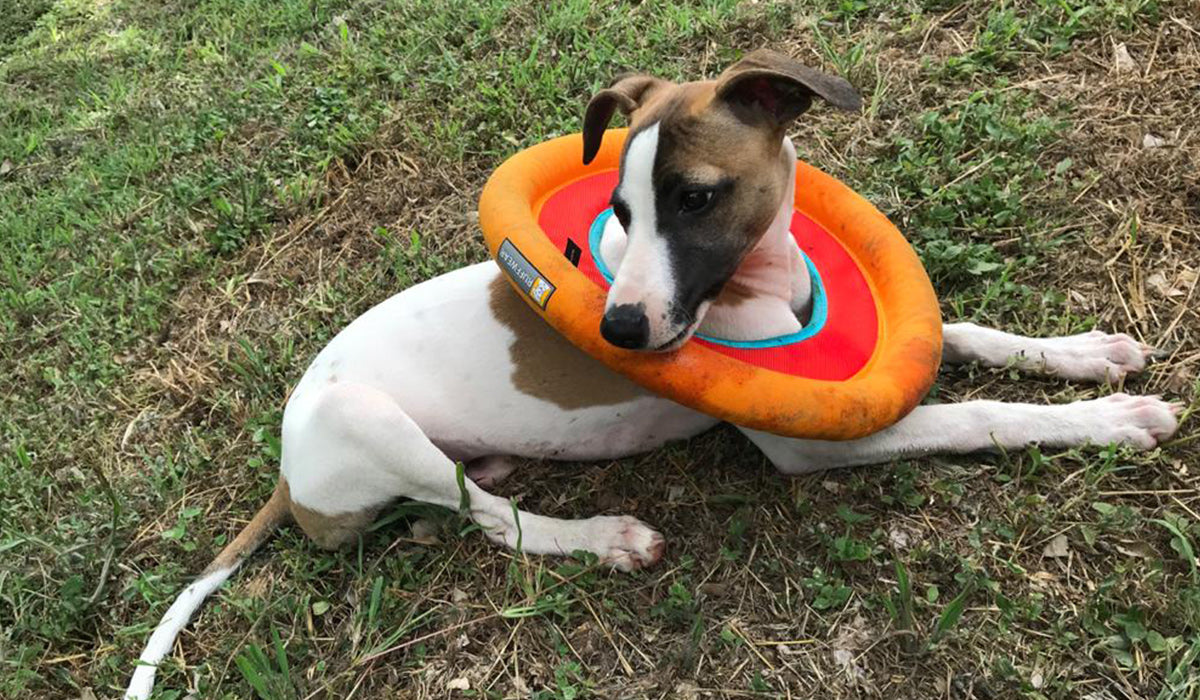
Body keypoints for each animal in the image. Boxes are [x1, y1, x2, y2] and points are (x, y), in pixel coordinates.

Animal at [124, 50, 1180, 700]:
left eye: (695, 197)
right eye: (621, 211)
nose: (622, 329)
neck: (756, 284)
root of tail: (286, 473)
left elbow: (967, 335)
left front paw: (1089, 353)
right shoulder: (804, 441)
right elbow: (975, 417)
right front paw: (1115, 420)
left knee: (463, 499)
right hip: (364, 419)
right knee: (494, 523)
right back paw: (602, 536)